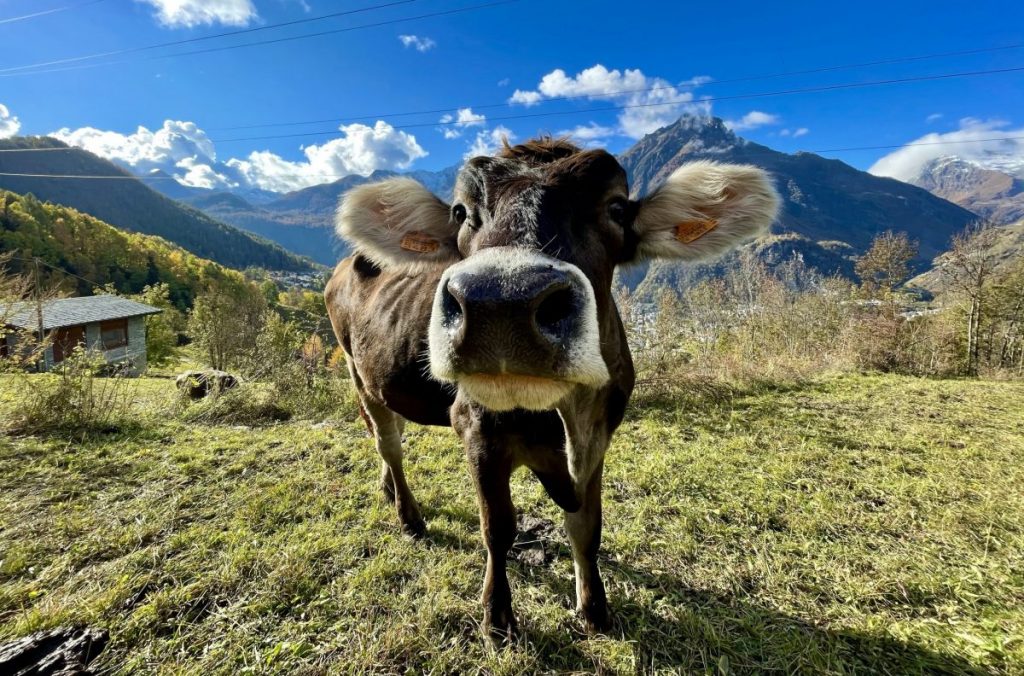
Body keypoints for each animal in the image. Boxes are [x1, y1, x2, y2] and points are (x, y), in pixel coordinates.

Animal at [325, 138, 774, 643]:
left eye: (617, 207)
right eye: (460, 212)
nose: (502, 303)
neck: (567, 414)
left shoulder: (600, 435)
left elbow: (587, 526)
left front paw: (594, 608)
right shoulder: (475, 427)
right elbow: (498, 528)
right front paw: (497, 617)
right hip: (356, 369)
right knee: (389, 442)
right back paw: (408, 514)